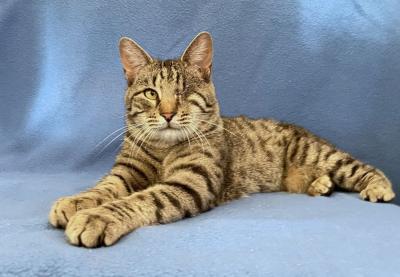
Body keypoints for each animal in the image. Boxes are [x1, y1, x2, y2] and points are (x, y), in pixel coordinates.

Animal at [48, 31, 396, 246]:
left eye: (184, 92)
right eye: (151, 93)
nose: (168, 113)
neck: (164, 149)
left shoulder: (190, 182)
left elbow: (140, 199)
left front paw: (96, 217)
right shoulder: (126, 173)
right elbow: (104, 188)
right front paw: (75, 201)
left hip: (320, 154)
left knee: (363, 167)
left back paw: (378, 187)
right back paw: (319, 184)